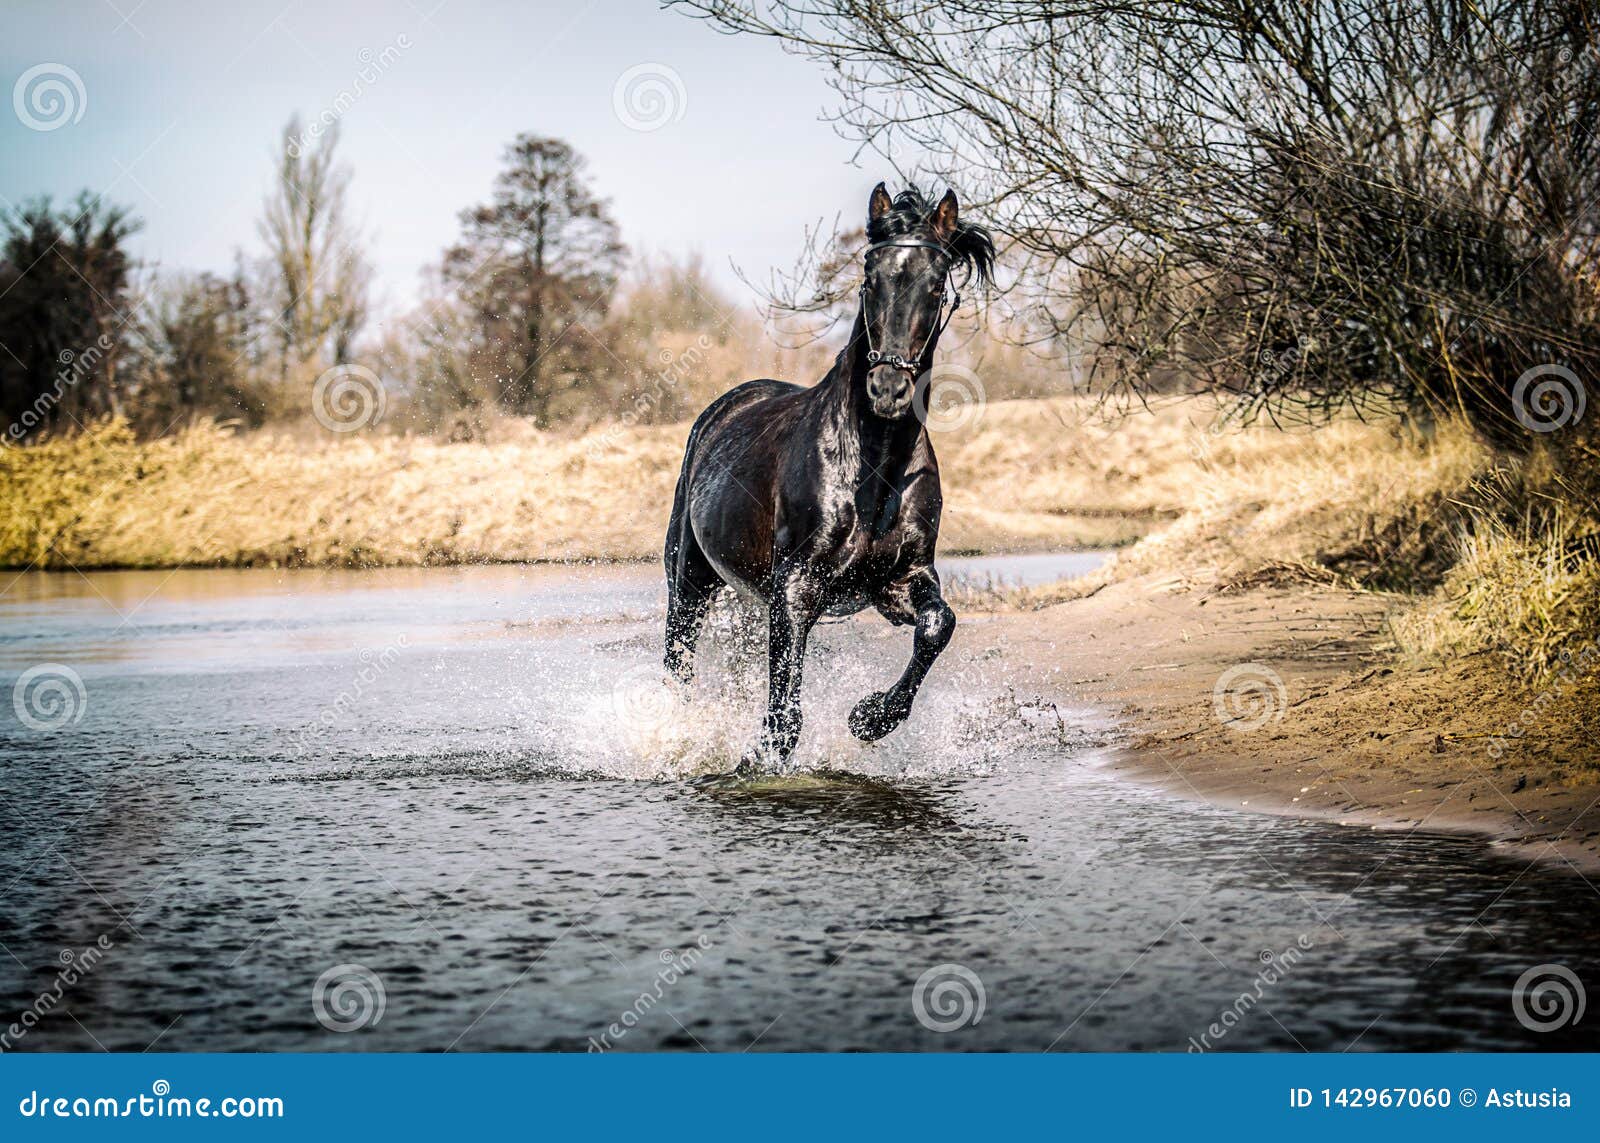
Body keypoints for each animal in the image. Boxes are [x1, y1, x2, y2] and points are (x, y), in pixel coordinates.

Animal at [659, 187, 985, 771]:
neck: (874, 470)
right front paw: (756, 762)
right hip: (691, 579)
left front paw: (870, 718)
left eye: (935, 284)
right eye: (870, 278)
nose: (887, 390)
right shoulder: (796, 588)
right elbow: (785, 711)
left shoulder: (901, 581)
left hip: (747, 599)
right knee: (679, 662)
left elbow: (937, 625)